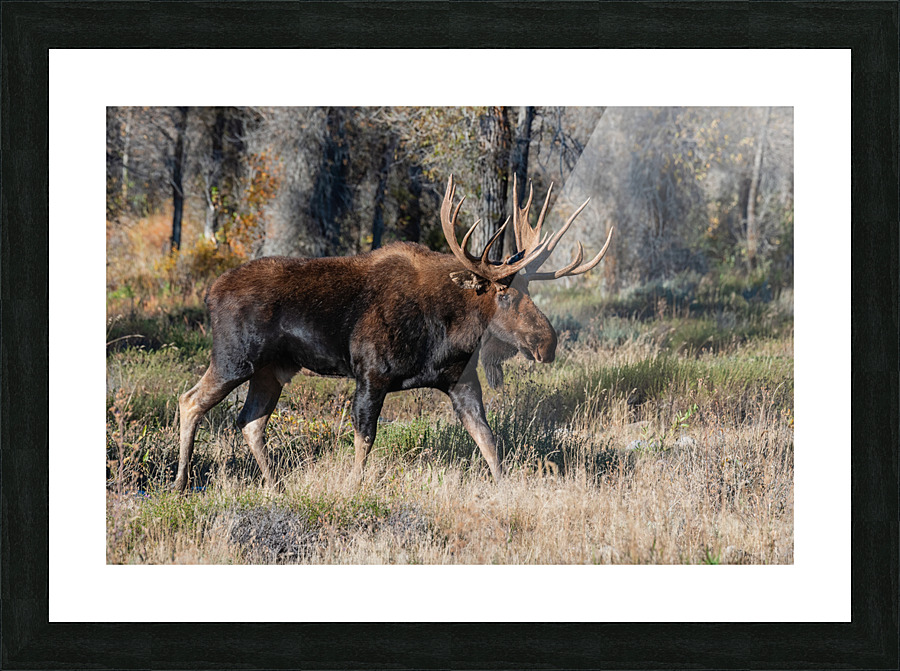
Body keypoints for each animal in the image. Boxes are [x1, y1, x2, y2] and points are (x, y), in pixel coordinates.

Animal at [174, 175, 612, 492]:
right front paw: (353, 489)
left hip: (272, 370)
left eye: (529, 291)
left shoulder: (461, 381)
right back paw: (180, 483)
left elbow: (489, 442)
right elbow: (364, 442)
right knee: (190, 400)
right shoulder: (370, 375)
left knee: (250, 421)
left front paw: (506, 489)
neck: (447, 333)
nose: (547, 343)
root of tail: (211, 292)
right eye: (504, 294)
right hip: (235, 358)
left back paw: (276, 485)